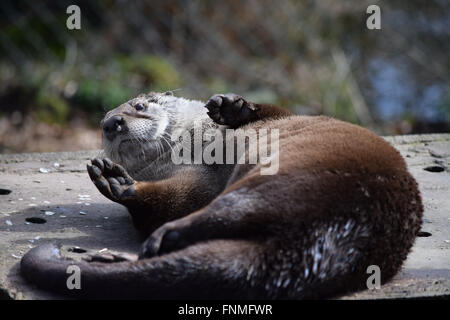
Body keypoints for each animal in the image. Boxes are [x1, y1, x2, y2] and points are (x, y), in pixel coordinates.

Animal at [20, 91, 422, 298]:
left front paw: (232, 107)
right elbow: (172, 201)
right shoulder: (195, 184)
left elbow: (272, 110)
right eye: (102, 127)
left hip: (284, 180)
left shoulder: (278, 119)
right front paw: (120, 181)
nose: (112, 122)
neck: (203, 147)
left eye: (139, 105)